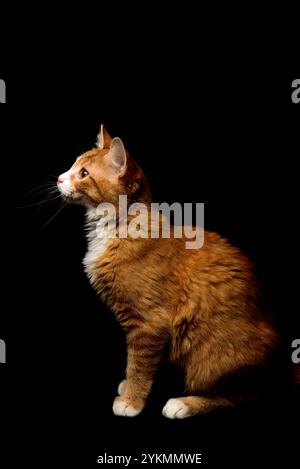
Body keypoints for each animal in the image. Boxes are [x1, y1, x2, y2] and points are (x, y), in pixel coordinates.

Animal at [57, 124, 278, 416]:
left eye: (83, 174)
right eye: (73, 165)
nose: (59, 179)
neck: (117, 229)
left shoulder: (148, 323)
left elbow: (139, 364)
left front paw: (132, 400)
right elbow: (140, 363)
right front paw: (128, 387)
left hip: (210, 353)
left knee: (242, 396)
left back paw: (184, 404)